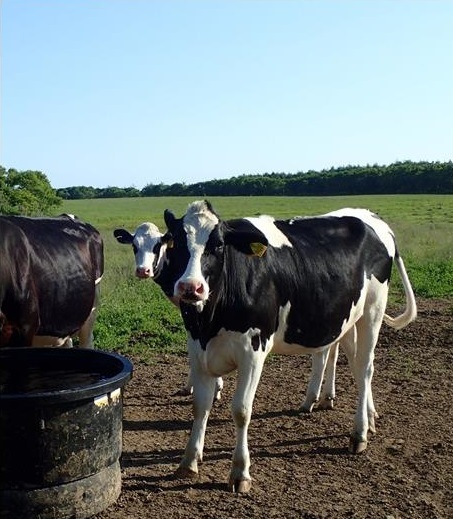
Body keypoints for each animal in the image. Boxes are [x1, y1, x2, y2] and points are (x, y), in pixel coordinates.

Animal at [160, 201, 416, 494]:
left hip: (373, 311)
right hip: (348, 318)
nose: (191, 287)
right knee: (353, 363)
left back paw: (359, 433)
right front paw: (189, 461)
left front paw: (240, 472)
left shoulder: (252, 351)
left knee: (364, 369)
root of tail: (371, 217)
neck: (210, 321)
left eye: (219, 245)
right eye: (176, 242)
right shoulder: (197, 349)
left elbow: (241, 410)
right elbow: (200, 406)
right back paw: (364, 416)